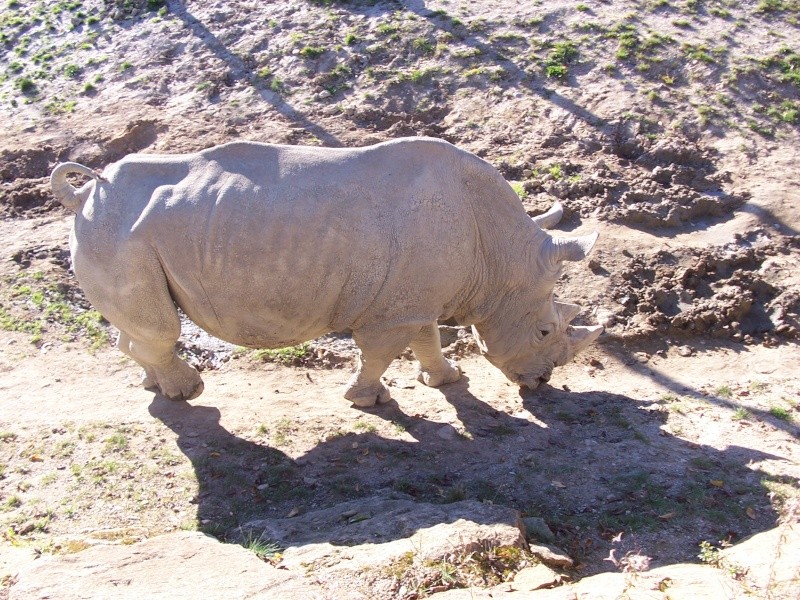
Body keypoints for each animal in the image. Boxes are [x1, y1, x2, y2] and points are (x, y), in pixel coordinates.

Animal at [51, 138, 600, 406]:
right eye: (545, 330)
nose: (542, 382)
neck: (500, 255)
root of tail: (85, 194)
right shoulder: (396, 308)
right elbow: (380, 352)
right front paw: (366, 402)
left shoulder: (413, 298)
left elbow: (426, 337)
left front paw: (445, 380)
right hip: (120, 235)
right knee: (160, 327)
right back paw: (189, 393)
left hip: (118, 232)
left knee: (139, 326)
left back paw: (155, 387)